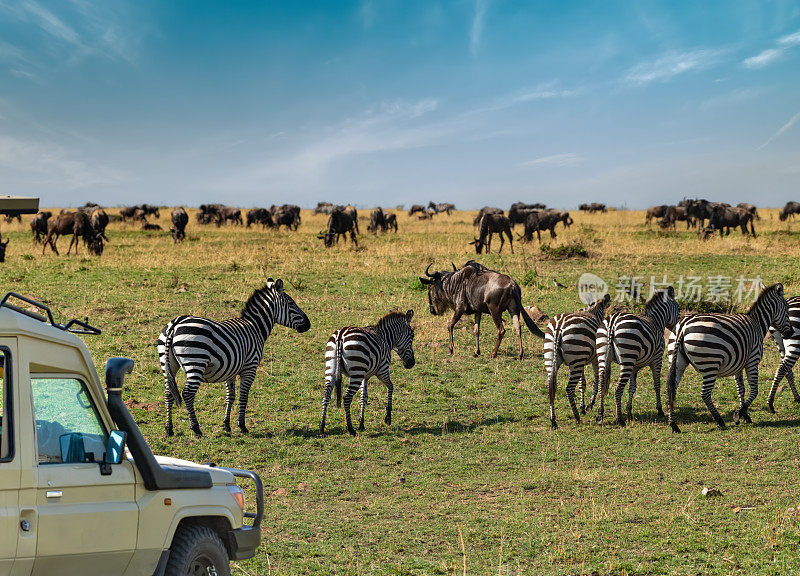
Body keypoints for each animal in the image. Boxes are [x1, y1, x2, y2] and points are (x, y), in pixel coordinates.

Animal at [156, 280, 310, 436]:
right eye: (291, 303)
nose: (308, 324)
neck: (255, 328)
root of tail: (176, 324)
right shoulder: (250, 367)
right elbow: (243, 396)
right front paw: (242, 426)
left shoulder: (230, 369)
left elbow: (231, 396)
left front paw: (226, 425)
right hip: (195, 362)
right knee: (187, 394)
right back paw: (196, 429)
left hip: (168, 364)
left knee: (168, 393)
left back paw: (169, 429)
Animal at [544, 292, 612, 428]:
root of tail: (559, 326)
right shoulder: (595, 359)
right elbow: (597, 381)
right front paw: (589, 405)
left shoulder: (581, 361)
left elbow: (582, 384)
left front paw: (582, 406)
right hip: (576, 360)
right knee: (569, 389)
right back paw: (576, 417)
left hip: (554, 358)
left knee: (550, 388)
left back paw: (553, 421)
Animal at [596, 286, 680, 426]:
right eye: (678, 309)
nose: (678, 329)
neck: (657, 321)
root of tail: (613, 321)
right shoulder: (657, 360)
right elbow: (657, 384)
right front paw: (660, 410)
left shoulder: (635, 366)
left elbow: (632, 387)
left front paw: (629, 411)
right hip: (627, 357)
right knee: (618, 389)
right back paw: (620, 419)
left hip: (604, 355)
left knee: (601, 384)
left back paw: (600, 415)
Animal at [664, 284, 792, 432]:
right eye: (787, 310)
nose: (790, 333)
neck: (757, 324)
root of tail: (683, 326)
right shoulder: (752, 361)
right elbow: (754, 390)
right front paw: (738, 415)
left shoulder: (738, 365)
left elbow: (741, 389)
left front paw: (745, 415)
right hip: (710, 363)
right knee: (705, 394)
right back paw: (719, 420)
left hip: (677, 362)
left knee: (671, 390)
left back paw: (673, 425)